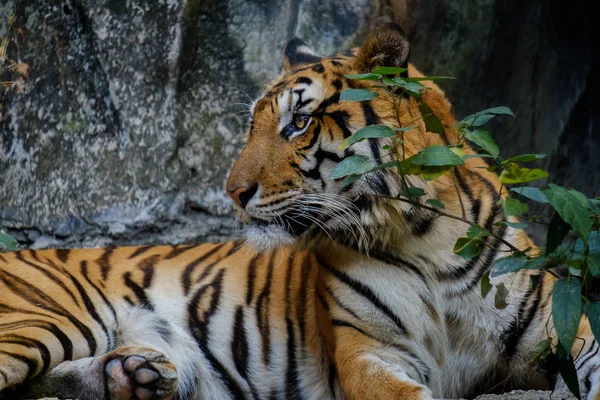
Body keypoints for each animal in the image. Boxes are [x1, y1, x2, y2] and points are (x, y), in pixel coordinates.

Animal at [0, 24, 596, 400]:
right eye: (254, 125)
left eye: (298, 123)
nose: (232, 192)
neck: (425, 236)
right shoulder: (368, 354)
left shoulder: (561, 325)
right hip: (47, 317)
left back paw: (132, 376)